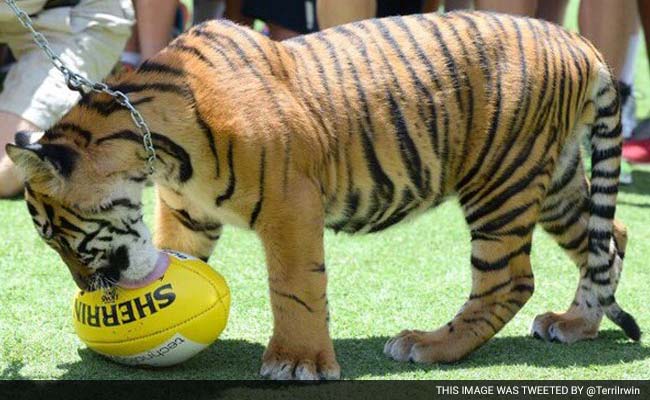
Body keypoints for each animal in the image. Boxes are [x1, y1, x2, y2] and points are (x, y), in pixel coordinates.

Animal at [6, 11, 641, 380]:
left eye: (59, 237)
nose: (90, 295)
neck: (152, 148)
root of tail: (577, 41)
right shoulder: (187, 212)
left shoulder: (290, 204)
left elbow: (295, 287)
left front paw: (296, 361)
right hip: (551, 179)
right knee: (611, 236)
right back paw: (576, 325)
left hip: (499, 181)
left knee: (508, 280)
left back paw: (428, 346)